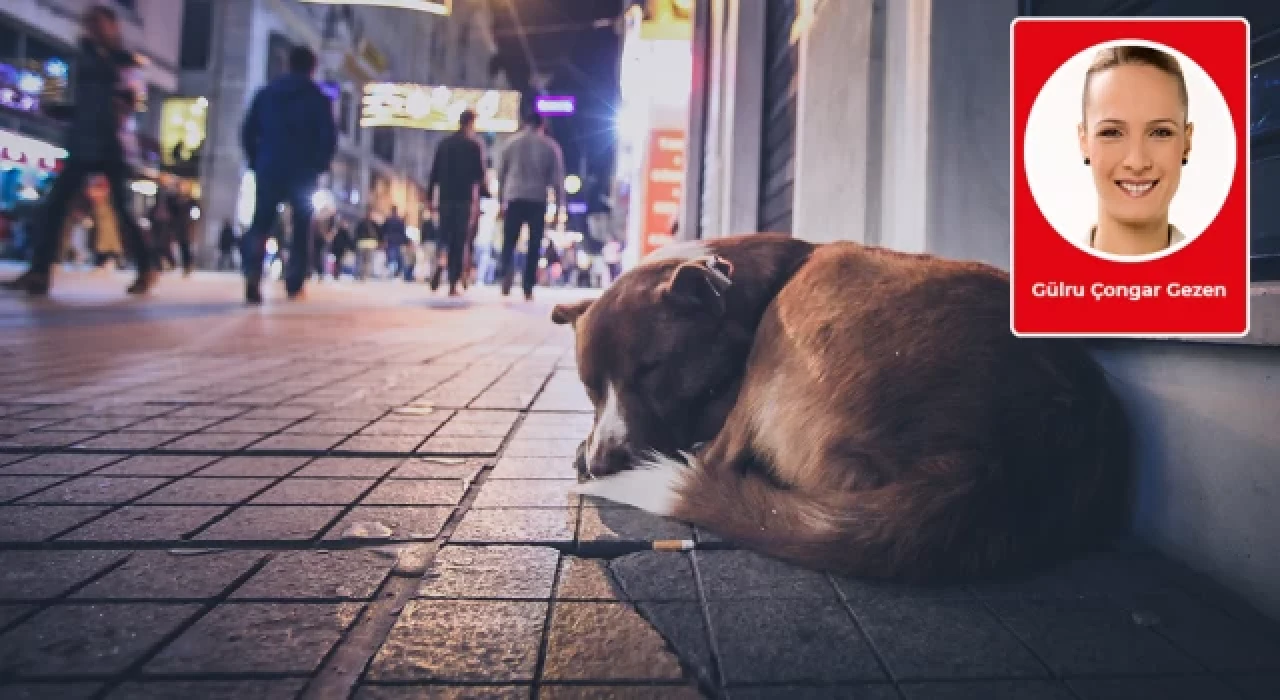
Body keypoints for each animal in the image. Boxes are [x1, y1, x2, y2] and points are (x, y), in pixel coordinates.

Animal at [550, 232, 1131, 583]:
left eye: (653, 368)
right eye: (589, 388)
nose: (602, 463)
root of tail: (988, 466)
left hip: (815, 284)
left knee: (718, 458)